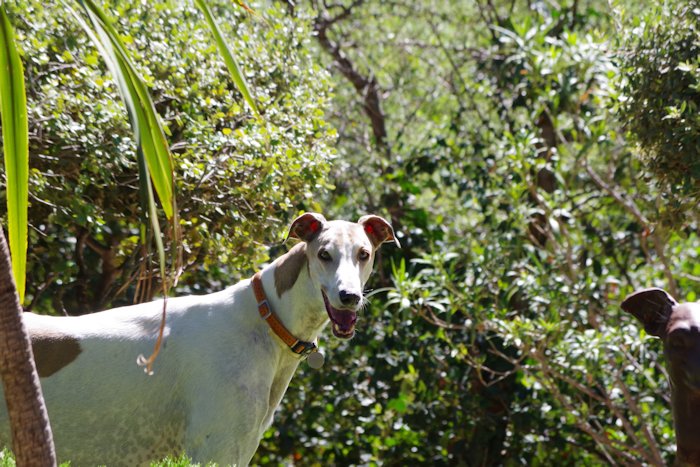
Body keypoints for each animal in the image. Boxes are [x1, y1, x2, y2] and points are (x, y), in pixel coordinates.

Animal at [0, 213, 399, 466]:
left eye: (364, 254)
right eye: (324, 254)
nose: (349, 297)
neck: (264, 318)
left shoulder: (241, 445)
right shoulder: (216, 448)